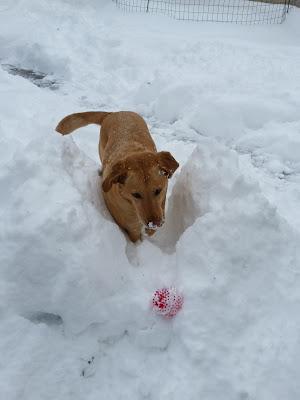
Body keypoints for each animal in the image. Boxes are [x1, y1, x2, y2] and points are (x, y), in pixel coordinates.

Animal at [55, 111, 178, 242]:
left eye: (158, 191)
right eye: (136, 195)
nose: (155, 223)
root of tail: (114, 113)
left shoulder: (161, 206)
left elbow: (152, 230)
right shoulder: (131, 228)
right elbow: (135, 235)